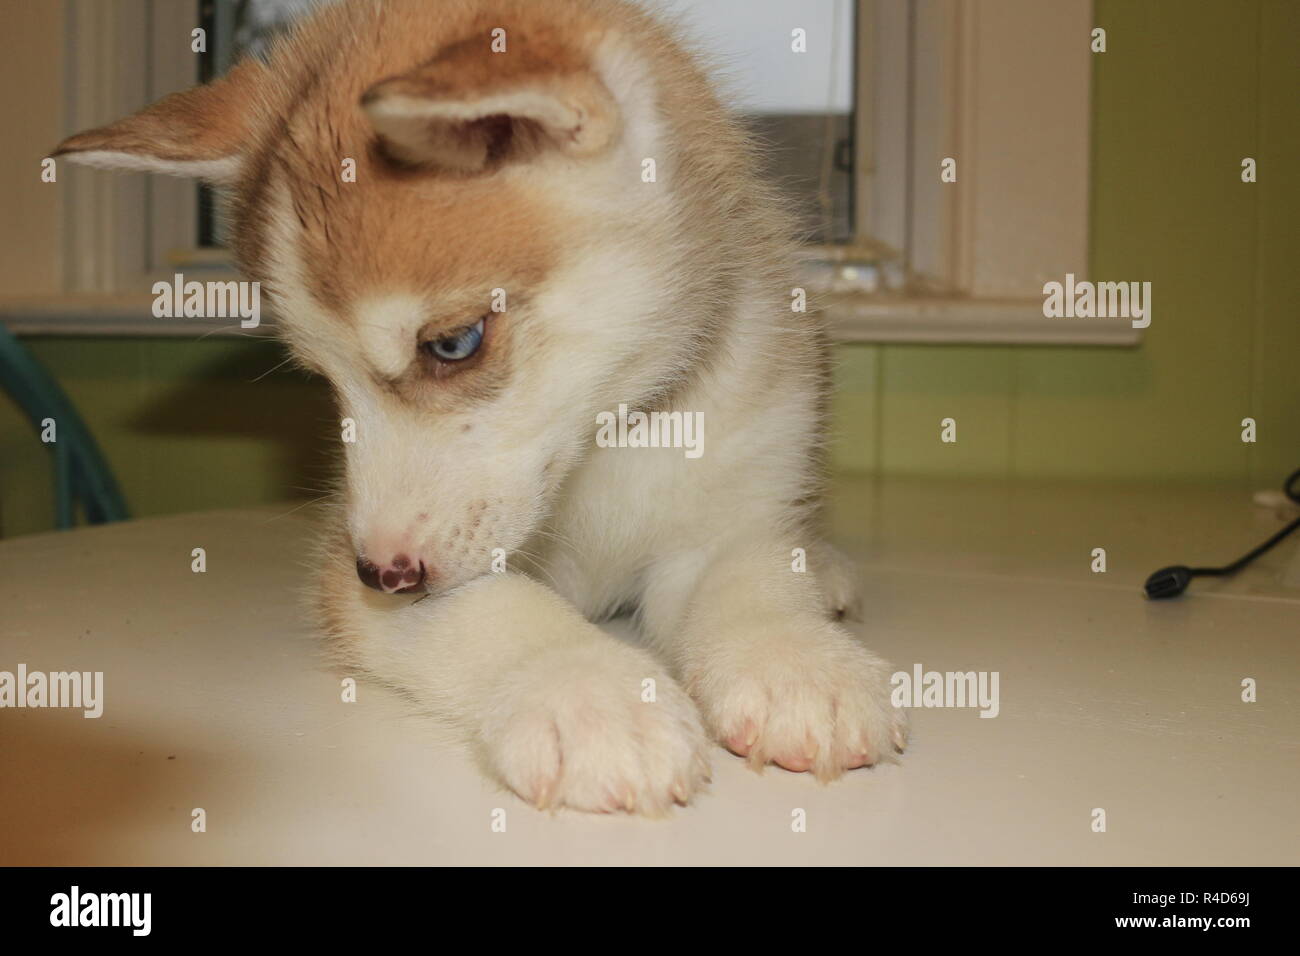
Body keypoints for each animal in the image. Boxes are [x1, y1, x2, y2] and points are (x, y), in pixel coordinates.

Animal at [53, 0, 904, 816]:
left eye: (453, 343)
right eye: (323, 378)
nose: (381, 573)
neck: (606, 444)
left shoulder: (727, 516)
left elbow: (748, 575)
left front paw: (796, 661)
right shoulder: (353, 575)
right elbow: (496, 610)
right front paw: (590, 697)